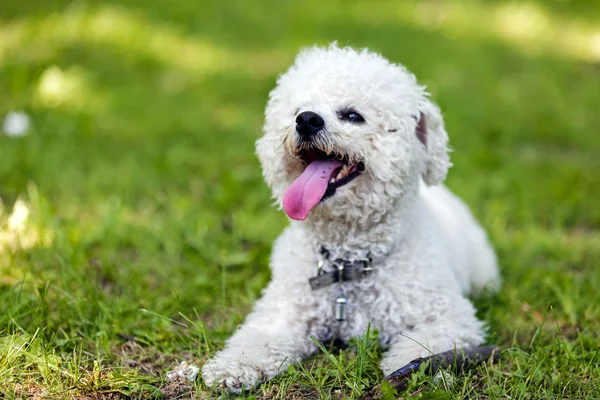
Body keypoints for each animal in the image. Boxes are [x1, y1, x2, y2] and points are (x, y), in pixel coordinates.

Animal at [202, 43, 502, 390]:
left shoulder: (449, 317)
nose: (306, 120)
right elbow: (256, 342)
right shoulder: (281, 315)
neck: (347, 263)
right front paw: (231, 367)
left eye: (353, 116)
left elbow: (423, 344)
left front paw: (413, 368)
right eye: (297, 110)